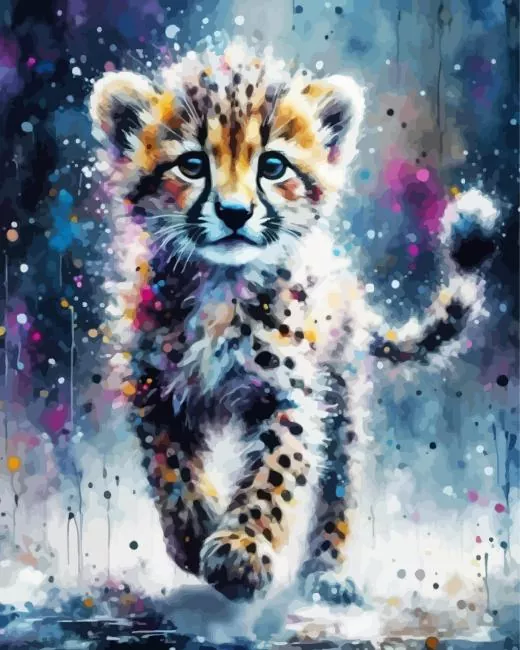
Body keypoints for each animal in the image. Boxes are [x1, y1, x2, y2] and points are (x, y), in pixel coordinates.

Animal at [88, 40, 498, 603]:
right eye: (192, 165)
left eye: (273, 165)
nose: (234, 212)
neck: (221, 284)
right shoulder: (153, 389)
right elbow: (170, 470)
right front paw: (193, 534)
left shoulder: (287, 395)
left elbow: (275, 473)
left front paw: (240, 549)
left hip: (341, 396)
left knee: (339, 483)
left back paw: (327, 572)